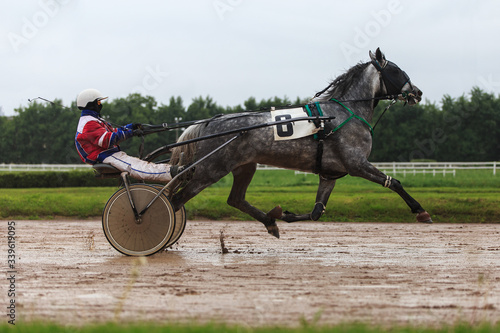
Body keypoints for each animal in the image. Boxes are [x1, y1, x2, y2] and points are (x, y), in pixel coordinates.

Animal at [170, 48, 432, 237]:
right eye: (397, 71)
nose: (418, 92)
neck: (345, 112)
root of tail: (208, 123)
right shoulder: (356, 163)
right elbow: (394, 182)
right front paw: (421, 211)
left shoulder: (330, 174)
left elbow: (317, 212)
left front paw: (282, 214)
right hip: (211, 169)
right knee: (175, 200)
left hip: (244, 167)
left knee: (235, 199)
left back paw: (270, 222)